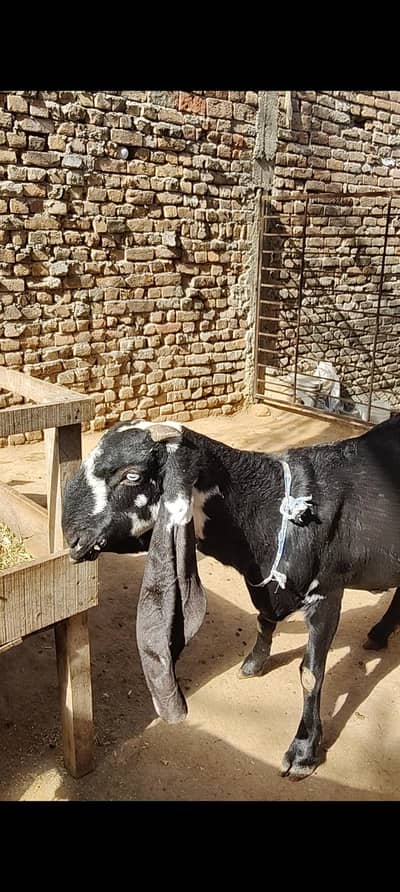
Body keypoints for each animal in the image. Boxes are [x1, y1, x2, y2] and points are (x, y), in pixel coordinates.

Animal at [61, 416, 400, 778]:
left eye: (132, 475)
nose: (73, 539)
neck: (275, 508)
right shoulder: (263, 585)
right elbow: (264, 619)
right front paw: (253, 663)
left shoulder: (327, 591)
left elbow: (310, 674)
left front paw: (304, 750)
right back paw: (379, 634)